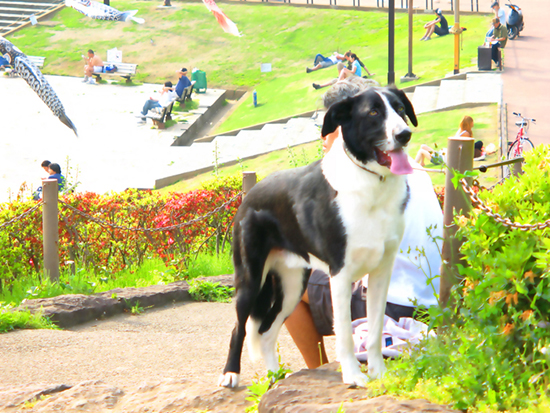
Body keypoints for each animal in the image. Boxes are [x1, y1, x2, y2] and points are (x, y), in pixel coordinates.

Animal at [220, 86, 418, 386]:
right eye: (373, 112)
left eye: (400, 108)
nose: (404, 134)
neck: (371, 182)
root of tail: (249, 196)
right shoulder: (340, 274)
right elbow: (345, 334)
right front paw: (353, 376)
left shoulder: (381, 272)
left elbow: (374, 330)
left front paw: (378, 373)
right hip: (250, 280)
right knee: (239, 328)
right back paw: (231, 374)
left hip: (293, 285)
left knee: (266, 331)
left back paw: (276, 377)